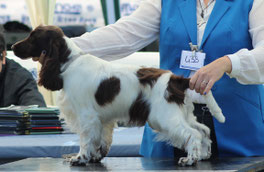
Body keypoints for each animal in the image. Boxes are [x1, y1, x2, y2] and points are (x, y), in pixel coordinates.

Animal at [12, 24, 225, 166]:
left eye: (32, 37)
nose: (13, 47)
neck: (68, 62)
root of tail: (175, 79)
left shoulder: (86, 115)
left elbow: (85, 139)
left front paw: (79, 158)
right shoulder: (102, 118)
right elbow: (101, 139)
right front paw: (95, 157)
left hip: (165, 117)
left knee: (193, 134)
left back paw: (190, 159)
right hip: (182, 113)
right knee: (204, 130)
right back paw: (204, 155)